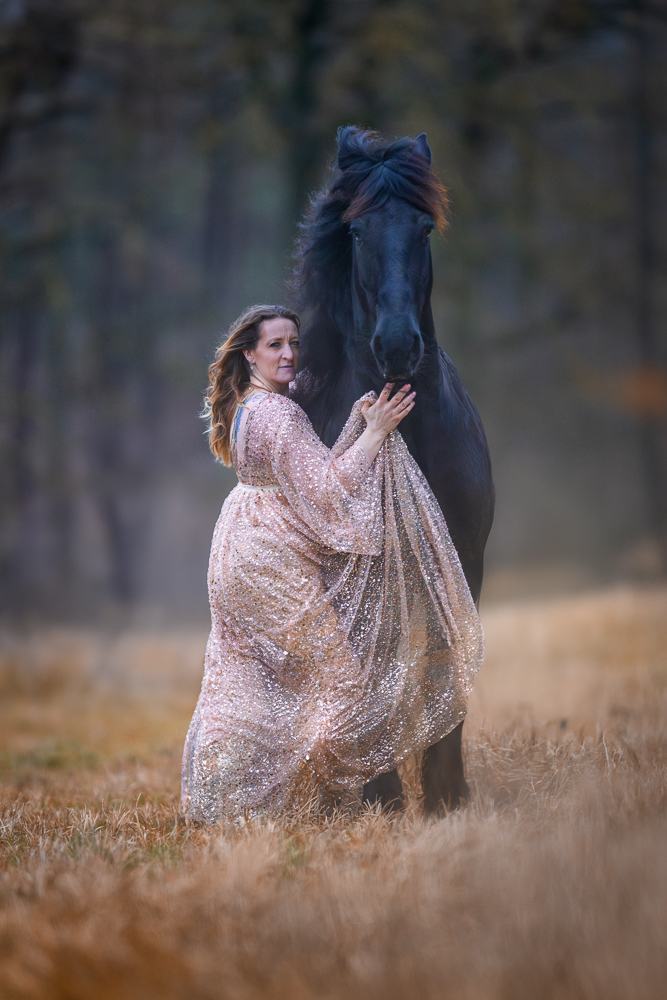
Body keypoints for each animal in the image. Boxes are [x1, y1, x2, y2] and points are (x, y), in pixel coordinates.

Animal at [290, 126, 495, 815]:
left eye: (424, 228)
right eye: (356, 232)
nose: (399, 345)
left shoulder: (463, 556)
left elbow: (447, 654)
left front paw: (446, 791)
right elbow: (367, 671)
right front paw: (380, 793)